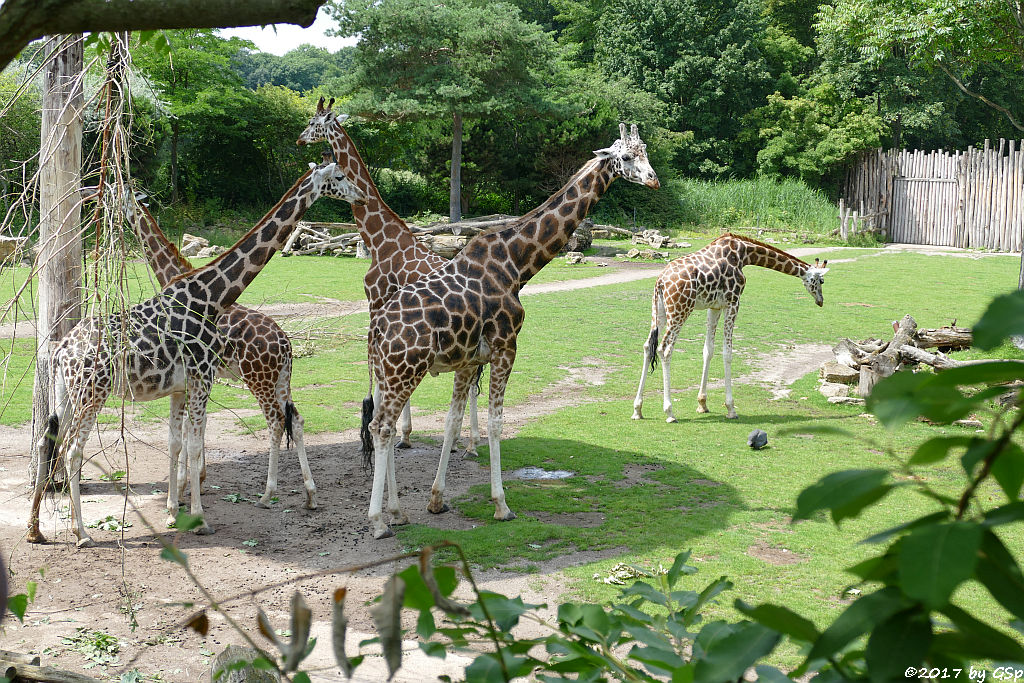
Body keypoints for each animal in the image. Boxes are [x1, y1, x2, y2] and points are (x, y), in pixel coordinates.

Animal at [28, 162, 366, 548]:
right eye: (338, 178)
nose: (361, 196)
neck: (209, 296)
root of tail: (61, 351)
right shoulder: (200, 377)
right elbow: (191, 443)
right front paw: (197, 517)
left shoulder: (184, 385)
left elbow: (178, 442)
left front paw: (177, 509)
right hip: (92, 393)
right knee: (70, 449)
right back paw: (81, 533)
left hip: (72, 393)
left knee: (50, 442)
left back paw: (41, 529)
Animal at [296, 97, 483, 454]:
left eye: (313, 122)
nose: (300, 139)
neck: (378, 240)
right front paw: (403, 434)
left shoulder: (377, 302)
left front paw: (397, 433)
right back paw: (468, 442)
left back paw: (466, 443)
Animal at [364, 122, 659, 540]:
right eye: (628, 156)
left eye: (646, 151)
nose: (653, 180)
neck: (517, 266)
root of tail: (376, 331)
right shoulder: (507, 347)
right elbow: (496, 422)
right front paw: (501, 505)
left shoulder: (469, 360)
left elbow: (453, 422)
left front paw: (437, 500)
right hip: (404, 370)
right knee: (382, 427)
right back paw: (378, 522)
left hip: (386, 373)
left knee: (381, 426)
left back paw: (396, 512)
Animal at [626, 233, 827, 421]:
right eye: (821, 281)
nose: (821, 301)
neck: (744, 255)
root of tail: (660, 281)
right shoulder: (733, 302)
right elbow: (728, 353)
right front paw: (731, 408)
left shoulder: (714, 306)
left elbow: (708, 350)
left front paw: (702, 404)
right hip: (680, 310)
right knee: (665, 349)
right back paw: (669, 412)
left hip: (658, 311)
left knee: (648, 346)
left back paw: (637, 409)